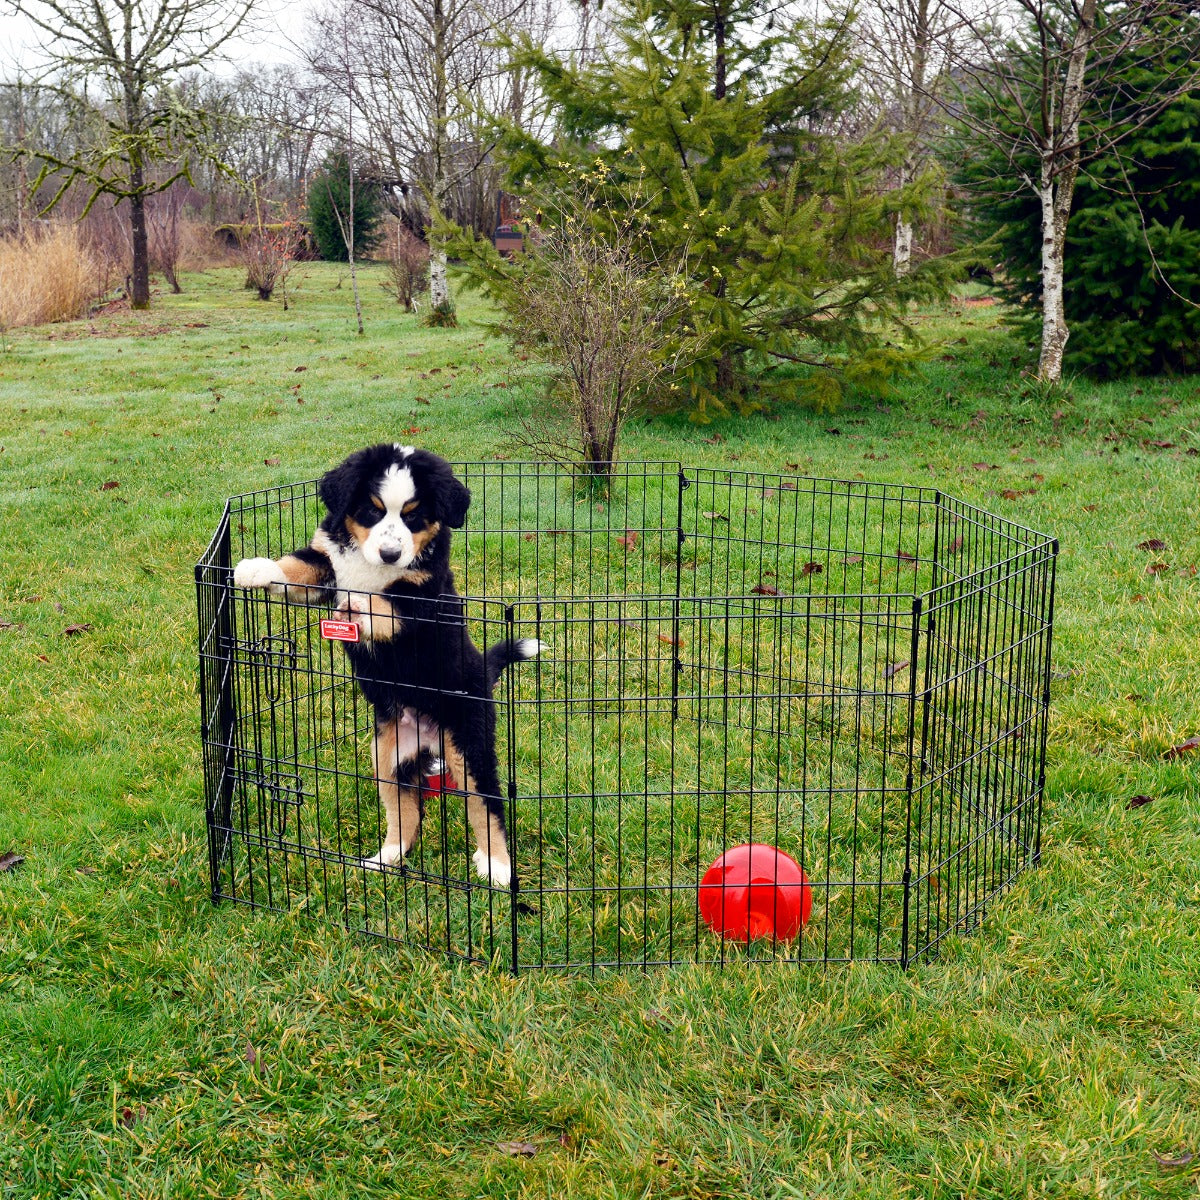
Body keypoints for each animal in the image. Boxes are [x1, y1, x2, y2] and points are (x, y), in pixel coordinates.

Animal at [232, 446, 540, 888]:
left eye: (414, 516)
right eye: (371, 511)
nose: (391, 553)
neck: (370, 566)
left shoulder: (422, 595)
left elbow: (385, 603)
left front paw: (357, 605)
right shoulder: (326, 562)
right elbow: (296, 567)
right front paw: (257, 569)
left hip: (469, 745)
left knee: (488, 807)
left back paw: (496, 867)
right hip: (388, 759)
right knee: (406, 814)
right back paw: (386, 858)